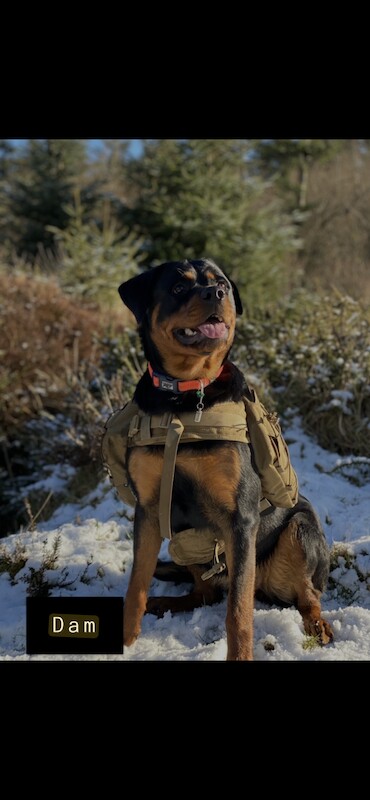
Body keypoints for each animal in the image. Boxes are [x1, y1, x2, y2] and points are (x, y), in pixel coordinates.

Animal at [118, 260, 332, 660]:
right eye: (178, 288)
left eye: (222, 285)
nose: (215, 293)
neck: (184, 400)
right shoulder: (149, 510)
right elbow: (136, 585)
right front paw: (124, 639)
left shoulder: (240, 518)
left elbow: (238, 611)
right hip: (184, 545)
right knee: (202, 593)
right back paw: (165, 603)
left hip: (299, 532)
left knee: (305, 595)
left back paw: (318, 624)